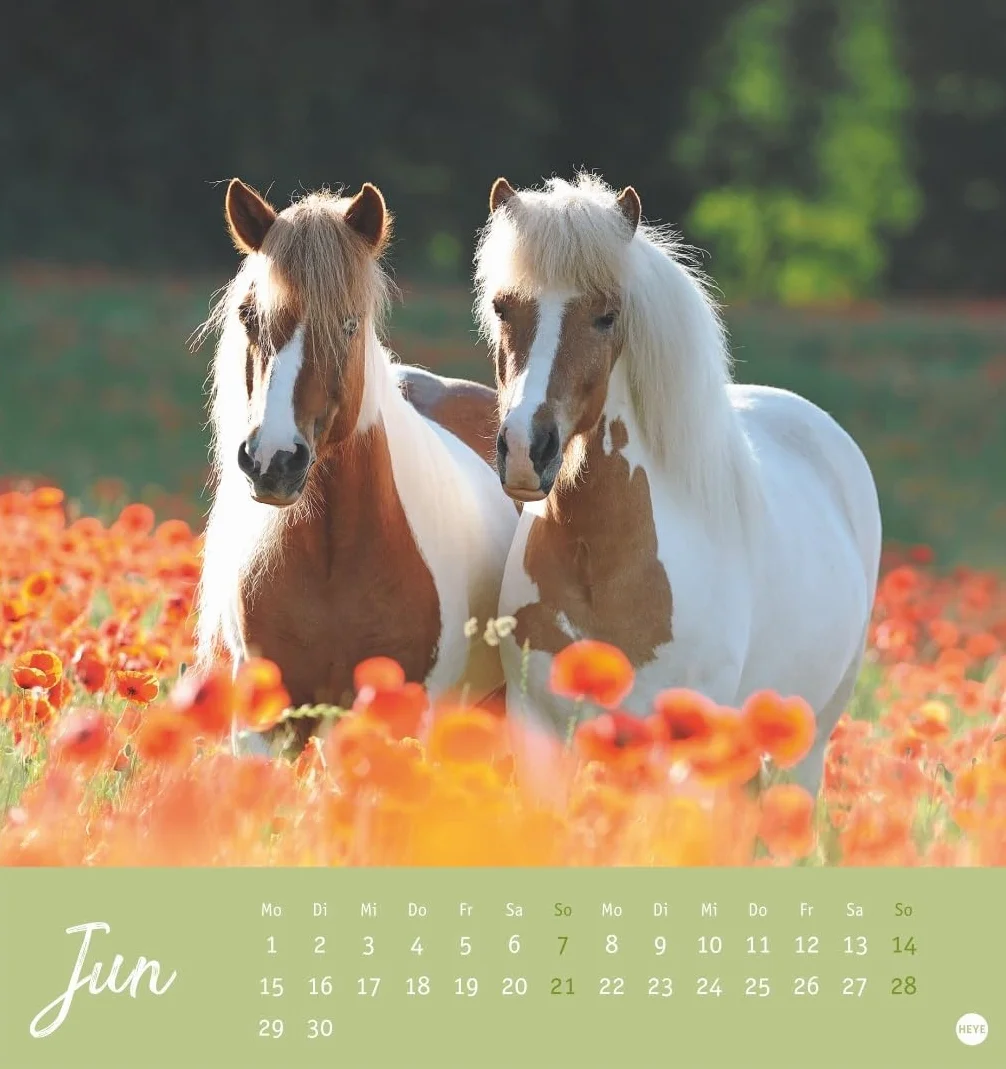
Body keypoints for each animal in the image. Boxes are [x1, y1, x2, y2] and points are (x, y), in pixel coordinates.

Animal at [475, 173, 882, 797]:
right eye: (503, 307)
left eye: (606, 315)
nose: (525, 449)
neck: (605, 567)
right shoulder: (541, 735)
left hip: (805, 752)